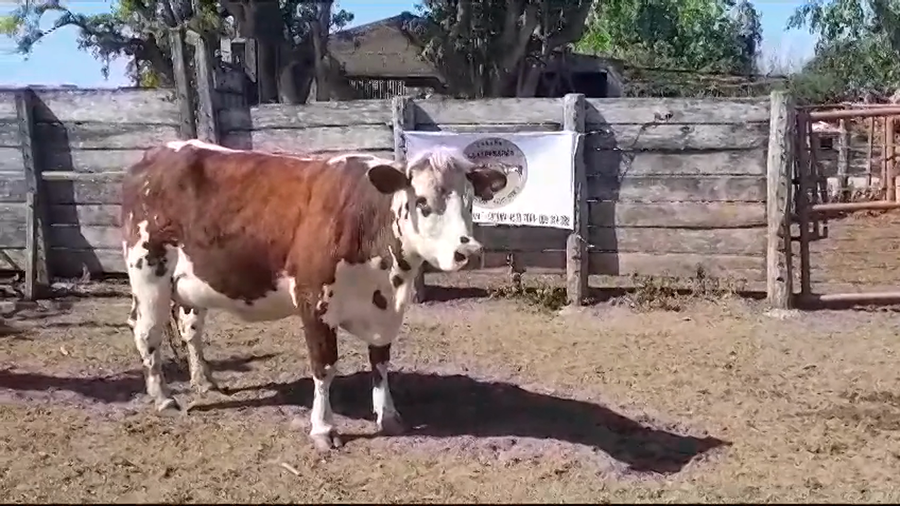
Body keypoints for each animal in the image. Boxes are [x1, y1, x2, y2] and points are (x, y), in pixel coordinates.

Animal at [120, 139, 508, 451]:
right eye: (423, 202)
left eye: (471, 203)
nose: (469, 252)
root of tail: (155, 154)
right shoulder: (313, 303)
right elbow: (324, 368)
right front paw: (324, 429)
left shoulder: (384, 312)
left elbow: (380, 362)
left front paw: (388, 415)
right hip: (147, 271)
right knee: (146, 332)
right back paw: (163, 398)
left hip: (190, 284)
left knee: (191, 329)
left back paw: (204, 381)